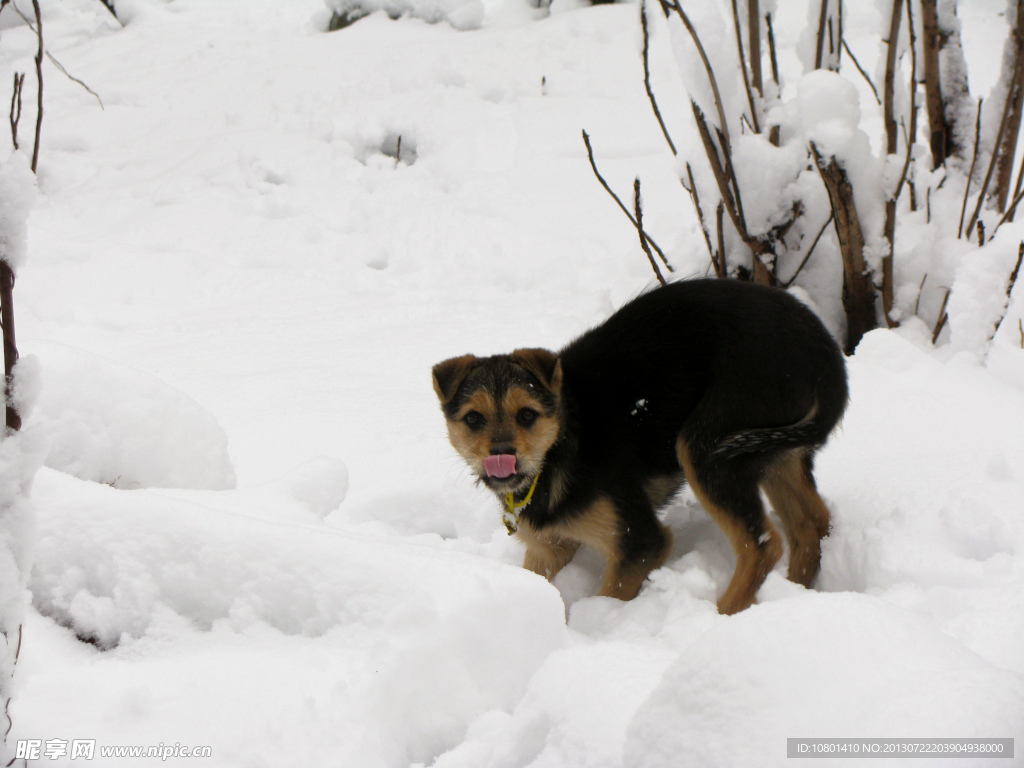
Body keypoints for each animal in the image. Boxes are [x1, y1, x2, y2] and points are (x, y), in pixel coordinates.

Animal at [432, 280, 847, 618]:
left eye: (527, 415)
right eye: (473, 419)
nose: (502, 455)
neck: (563, 445)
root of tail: (827, 354)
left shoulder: (638, 540)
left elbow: (610, 596)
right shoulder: (548, 548)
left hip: (710, 443)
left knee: (763, 545)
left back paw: (721, 616)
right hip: (775, 455)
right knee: (811, 523)